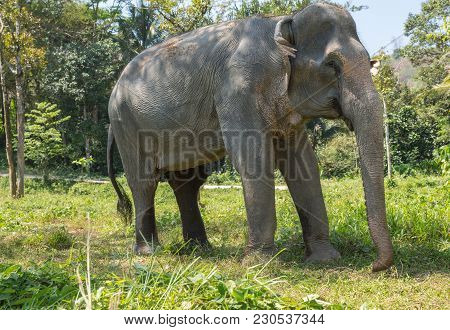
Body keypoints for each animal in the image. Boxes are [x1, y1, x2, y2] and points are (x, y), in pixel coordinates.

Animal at [107, 1, 392, 270]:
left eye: (370, 62)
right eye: (332, 65)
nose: (374, 266)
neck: (282, 22)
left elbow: (302, 164)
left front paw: (323, 260)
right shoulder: (237, 89)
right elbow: (253, 159)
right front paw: (260, 264)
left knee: (186, 183)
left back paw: (199, 249)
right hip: (126, 122)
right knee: (144, 182)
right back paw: (149, 252)